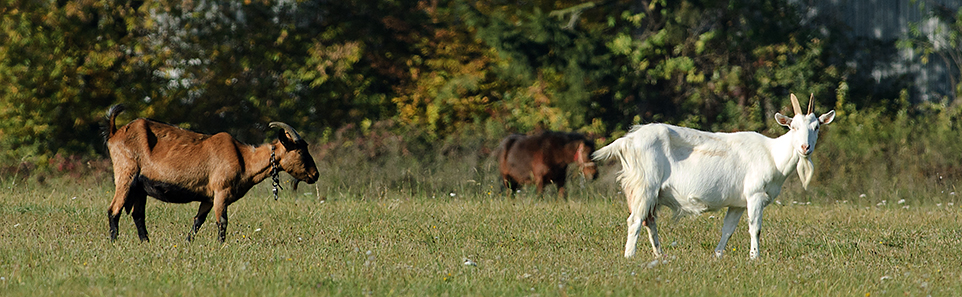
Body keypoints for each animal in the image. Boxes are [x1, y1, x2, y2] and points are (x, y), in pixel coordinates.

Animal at [104, 105, 318, 242]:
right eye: (300, 151)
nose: (315, 174)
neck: (244, 158)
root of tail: (115, 133)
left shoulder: (208, 197)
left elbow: (197, 221)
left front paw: (187, 243)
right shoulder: (221, 192)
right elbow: (222, 222)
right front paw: (221, 246)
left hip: (140, 187)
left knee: (138, 214)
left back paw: (146, 242)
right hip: (126, 175)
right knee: (114, 209)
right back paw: (115, 243)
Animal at [592, 93, 832, 258]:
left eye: (817, 126)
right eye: (793, 127)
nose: (805, 147)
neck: (772, 154)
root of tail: (628, 140)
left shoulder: (737, 203)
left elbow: (728, 229)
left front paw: (718, 255)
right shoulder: (754, 195)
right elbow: (755, 228)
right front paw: (755, 257)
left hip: (652, 192)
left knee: (649, 220)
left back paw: (659, 256)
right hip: (645, 185)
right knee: (635, 219)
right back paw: (629, 257)